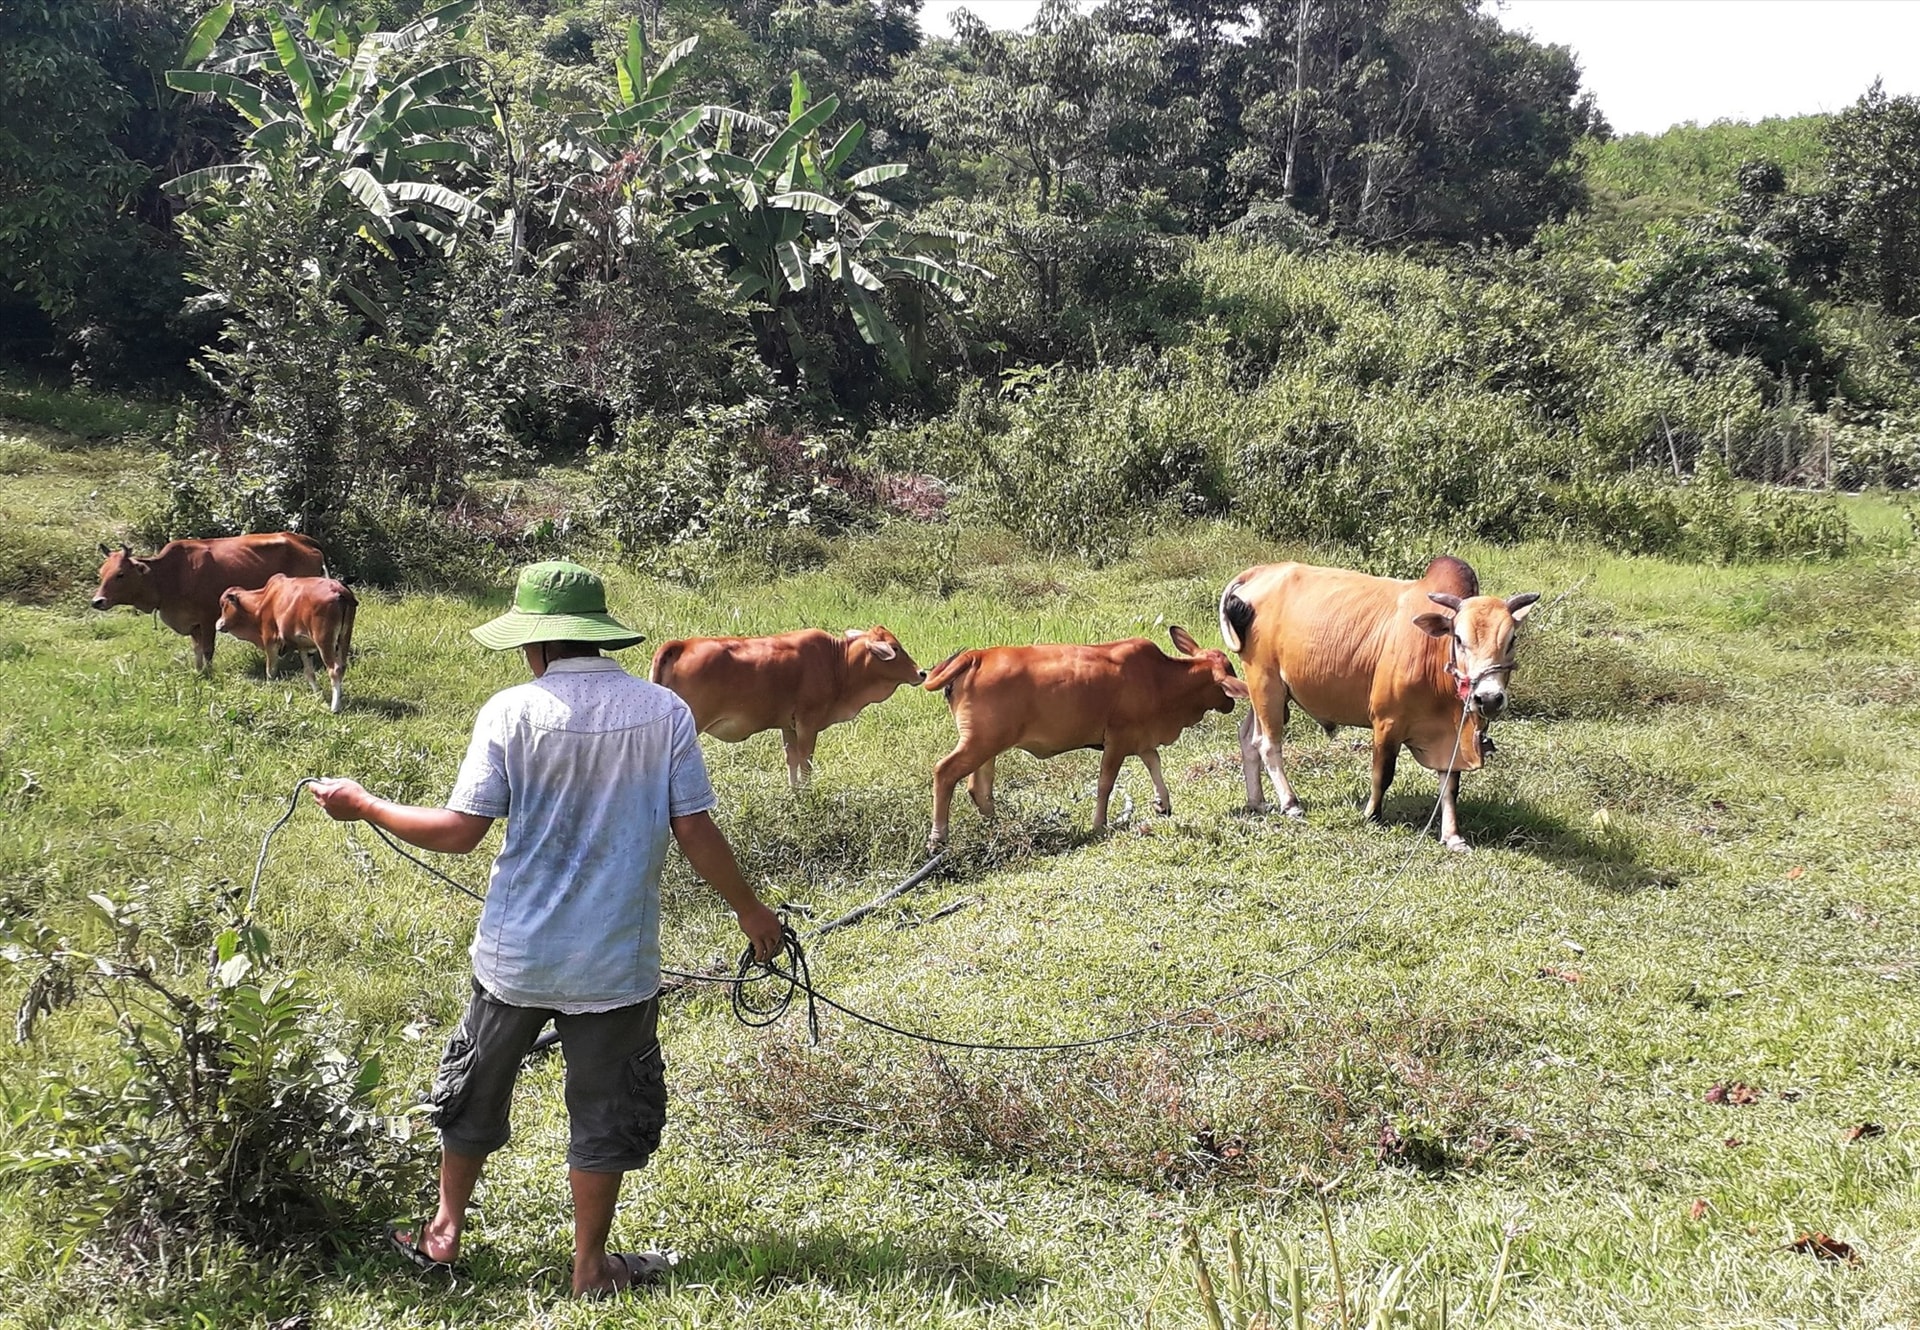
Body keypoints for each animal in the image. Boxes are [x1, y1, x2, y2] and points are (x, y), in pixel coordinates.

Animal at [94, 533, 328, 667]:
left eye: (120, 574)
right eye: (101, 573)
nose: (97, 601)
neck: (169, 575)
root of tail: (303, 539)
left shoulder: (208, 619)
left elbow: (207, 650)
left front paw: (209, 674)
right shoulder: (193, 623)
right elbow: (197, 651)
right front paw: (199, 672)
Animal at [214, 571, 360, 710]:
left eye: (223, 605)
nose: (218, 624)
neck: (260, 602)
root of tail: (339, 590)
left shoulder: (270, 641)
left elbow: (270, 671)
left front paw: (269, 690)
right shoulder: (303, 646)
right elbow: (309, 673)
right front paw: (317, 695)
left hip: (324, 641)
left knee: (334, 670)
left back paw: (335, 707)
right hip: (345, 636)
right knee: (342, 666)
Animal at [921, 625, 1251, 852]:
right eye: (1229, 673)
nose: (1232, 702)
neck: (1161, 679)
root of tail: (977, 655)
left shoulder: (1141, 738)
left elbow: (1155, 764)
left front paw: (1163, 804)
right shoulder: (1118, 739)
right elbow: (1105, 783)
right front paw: (1099, 824)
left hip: (988, 746)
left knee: (979, 788)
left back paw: (999, 827)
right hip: (979, 743)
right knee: (944, 772)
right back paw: (938, 838)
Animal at [1221, 552, 1536, 852]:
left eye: (1512, 640)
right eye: (1458, 638)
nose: (1489, 698)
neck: (1433, 655)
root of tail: (1258, 573)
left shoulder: (1451, 737)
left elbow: (1450, 785)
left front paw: (1452, 836)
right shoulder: (1387, 722)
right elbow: (1383, 774)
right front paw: (1372, 815)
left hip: (1267, 690)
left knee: (1248, 737)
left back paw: (1257, 801)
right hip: (1266, 683)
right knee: (1268, 744)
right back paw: (1290, 802)